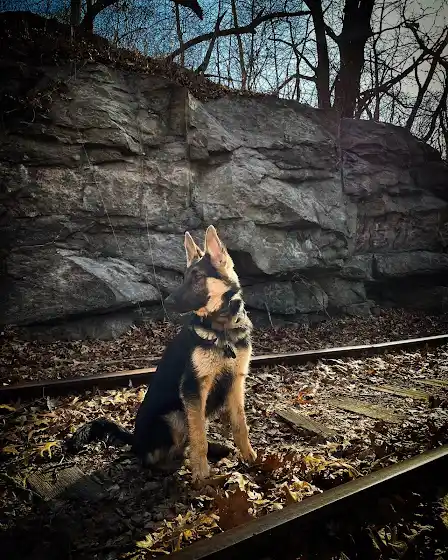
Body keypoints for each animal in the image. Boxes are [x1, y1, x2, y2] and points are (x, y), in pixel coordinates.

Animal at [69, 225, 256, 482]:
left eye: (198, 277)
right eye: (184, 277)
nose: (167, 301)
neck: (222, 330)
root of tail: (134, 441)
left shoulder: (236, 382)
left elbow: (240, 425)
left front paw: (250, 456)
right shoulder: (193, 388)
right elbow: (199, 437)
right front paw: (201, 474)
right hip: (174, 416)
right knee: (153, 458)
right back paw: (173, 466)